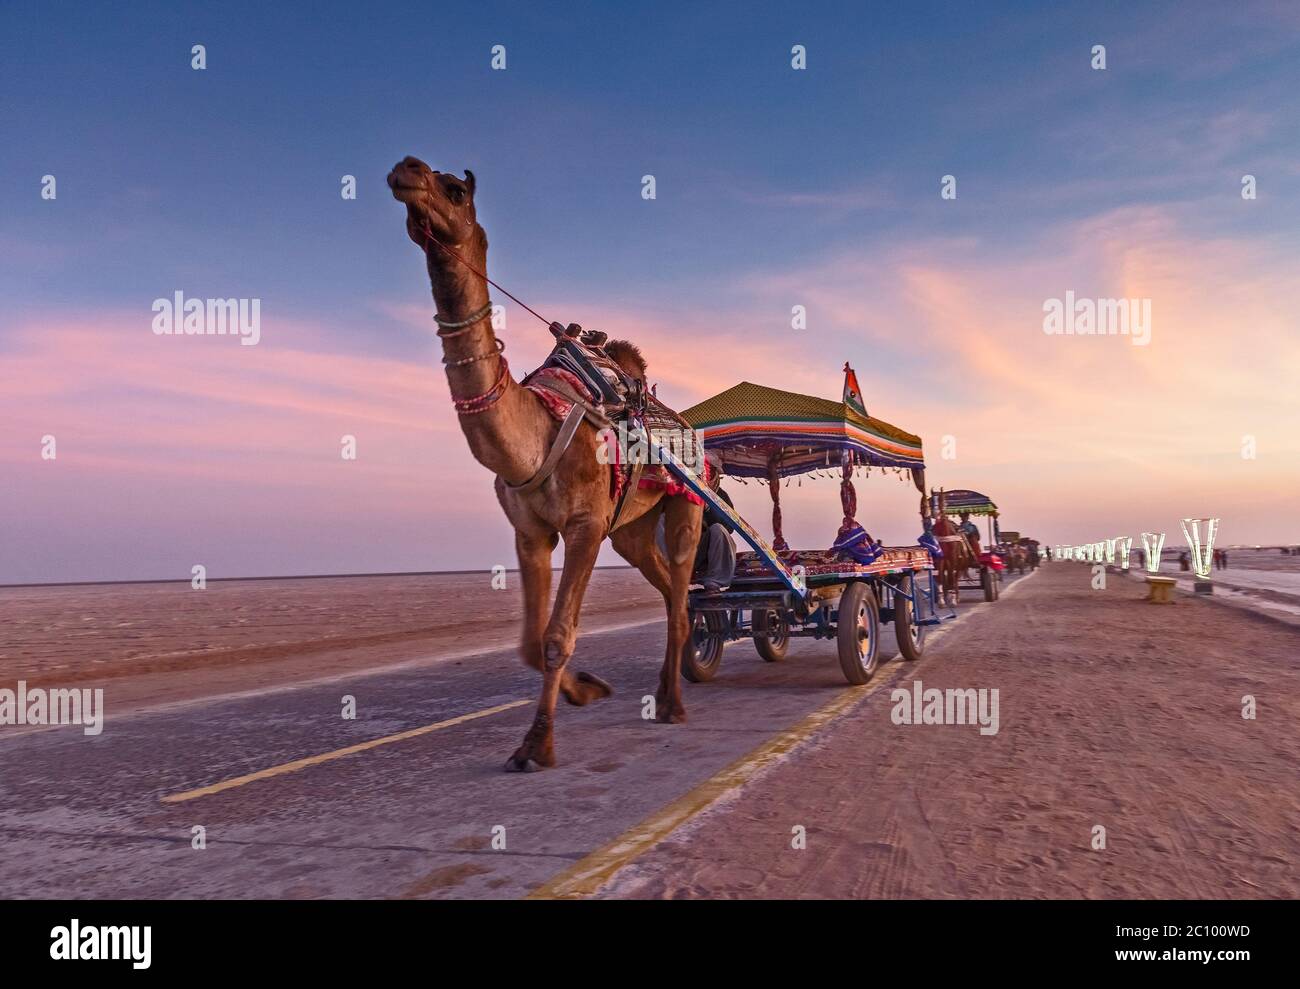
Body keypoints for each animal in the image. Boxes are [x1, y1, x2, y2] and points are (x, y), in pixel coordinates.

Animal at [384, 155, 702, 769]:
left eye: (454, 190)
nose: (405, 169)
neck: (534, 435)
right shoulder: (531, 530)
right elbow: (531, 642)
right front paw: (588, 690)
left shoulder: (583, 525)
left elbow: (557, 637)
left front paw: (538, 743)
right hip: (629, 529)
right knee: (662, 586)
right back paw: (660, 690)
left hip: (688, 508)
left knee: (680, 595)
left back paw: (676, 704)